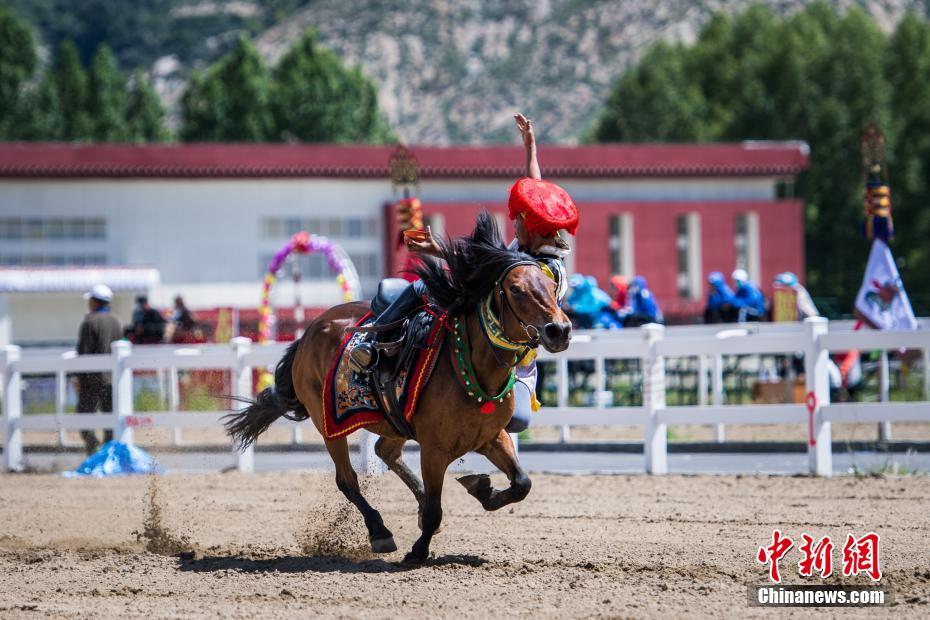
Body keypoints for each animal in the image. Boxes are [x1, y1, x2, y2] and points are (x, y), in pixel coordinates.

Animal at [227, 216, 572, 564]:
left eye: (552, 287)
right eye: (515, 289)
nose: (559, 330)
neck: (471, 366)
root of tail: (312, 329)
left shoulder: (492, 437)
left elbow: (522, 483)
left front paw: (482, 488)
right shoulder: (434, 450)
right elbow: (435, 509)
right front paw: (418, 551)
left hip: (392, 421)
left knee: (385, 452)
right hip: (327, 425)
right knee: (348, 480)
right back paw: (380, 532)